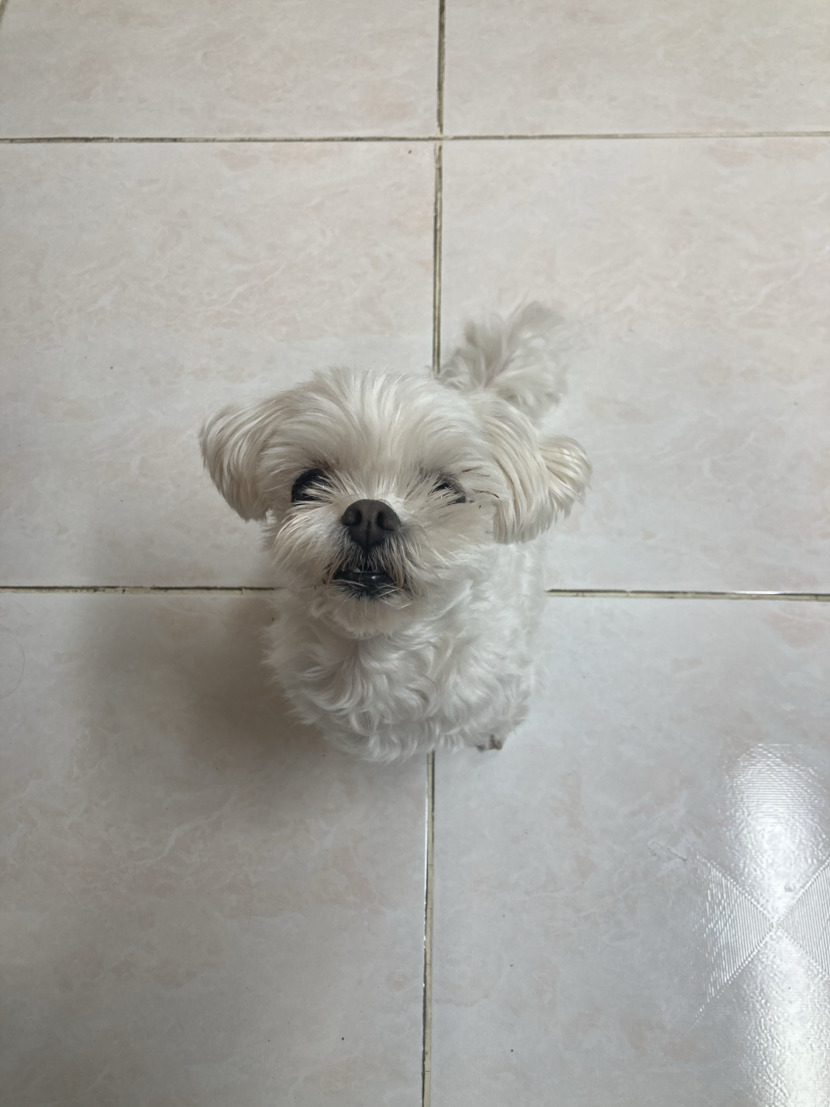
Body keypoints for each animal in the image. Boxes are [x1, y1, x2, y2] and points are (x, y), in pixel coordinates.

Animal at [200, 305, 590, 762]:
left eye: (448, 489)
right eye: (307, 483)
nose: (369, 514)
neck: (378, 652)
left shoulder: (506, 683)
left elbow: (498, 713)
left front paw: (492, 733)